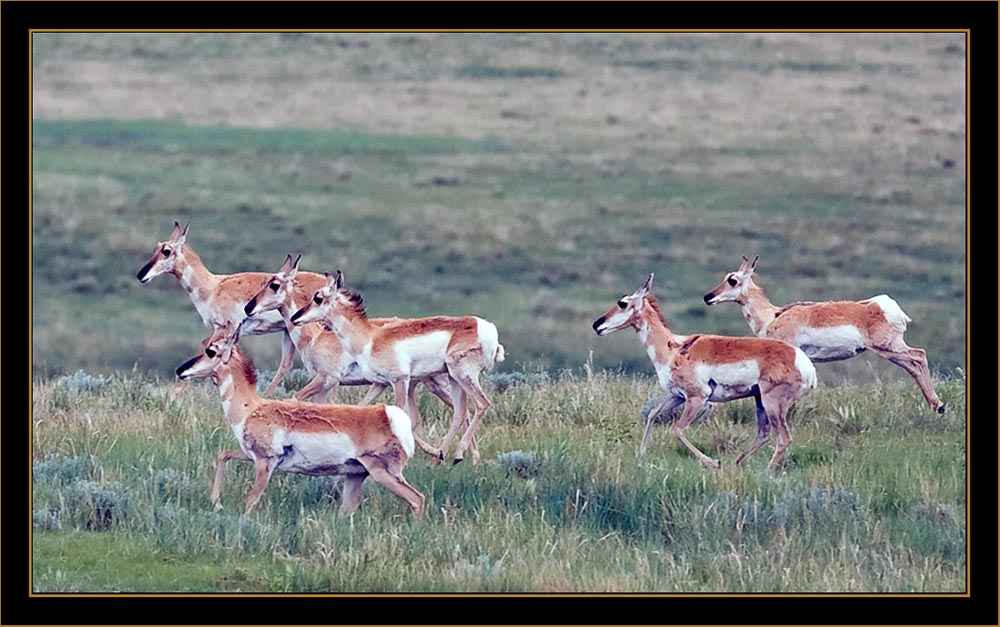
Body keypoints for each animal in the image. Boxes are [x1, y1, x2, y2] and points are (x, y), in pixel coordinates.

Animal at [135, 222, 324, 392]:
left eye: (166, 251)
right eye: (156, 248)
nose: (141, 275)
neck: (213, 287)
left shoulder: (226, 327)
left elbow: (205, 347)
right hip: (288, 330)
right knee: (286, 365)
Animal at [177, 322, 426, 516]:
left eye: (211, 351)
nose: (181, 370)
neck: (252, 408)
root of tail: (389, 415)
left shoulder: (265, 463)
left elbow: (251, 500)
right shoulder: (250, 455)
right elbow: (223, 455)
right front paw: (216, 503)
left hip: (382, 472)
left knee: (417, 499)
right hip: (355, 475)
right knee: (349, 508)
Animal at [292, 270, 504, 466]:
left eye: (318, 297)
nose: (295, 317)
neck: (370, 339)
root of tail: (486, 327)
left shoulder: (399, 380)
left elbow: (401, 414)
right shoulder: (380, 384)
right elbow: (364, 408)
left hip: (462, 375)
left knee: (482, 404)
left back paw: (457, 454)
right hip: (453, 379)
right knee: (460, 413)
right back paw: (438, 458)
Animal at [588, 274, 816, 472]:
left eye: (623, 303)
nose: (597, 324)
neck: (674, 348)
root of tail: (802, 361)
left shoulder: (697, 398)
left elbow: (677, 430)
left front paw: (711, 462)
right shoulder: (677, 396)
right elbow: (653, 414)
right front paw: (641, 453)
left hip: (772, 404)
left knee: (784, 439)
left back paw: (764, 471)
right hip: (760, 400)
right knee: (764, 434)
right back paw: (735, 464)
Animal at [704, 254, 944, 412]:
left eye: (732, 280)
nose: (708, 297)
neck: (773, 315)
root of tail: (881, 305)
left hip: (887, 348)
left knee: (919, 356)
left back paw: (938, 405)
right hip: (891, 350)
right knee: (913, 364)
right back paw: (936, 406)